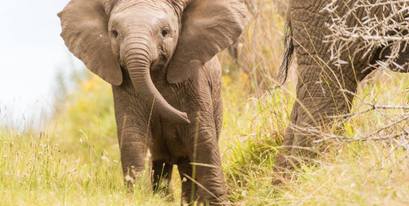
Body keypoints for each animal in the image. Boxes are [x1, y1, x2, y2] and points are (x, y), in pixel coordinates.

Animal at [58, 0, 247, 204]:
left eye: (165, 32)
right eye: (114, 33)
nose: (183, 115)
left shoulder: (195, 80)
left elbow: (202, 135)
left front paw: (218, 202)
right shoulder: (124, 85)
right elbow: (132, 137)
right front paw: (138, 198)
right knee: (163, 167)